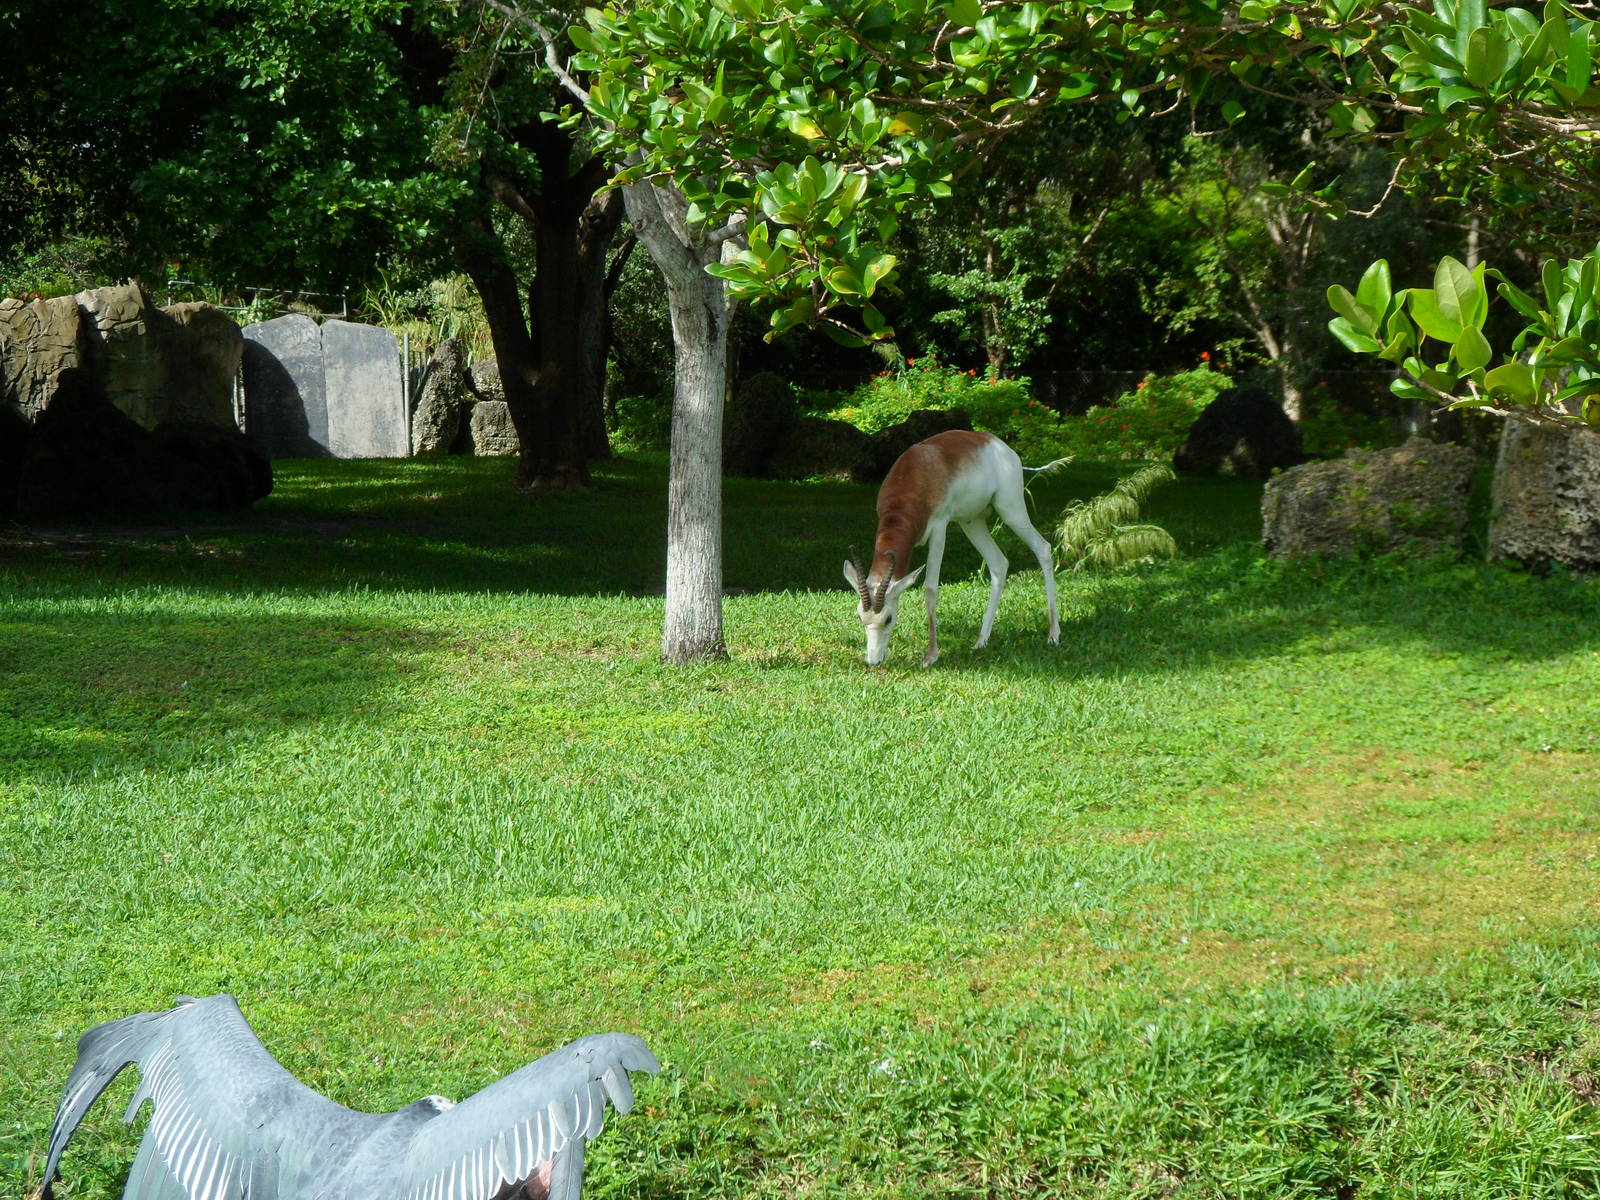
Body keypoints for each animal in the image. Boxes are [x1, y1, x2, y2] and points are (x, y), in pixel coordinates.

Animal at [844, 430, 1060, 666]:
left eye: (888, 618)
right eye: (859, 616)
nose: (873, 661)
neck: (916, 474)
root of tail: (1002, 446)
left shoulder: (939, 528)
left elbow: (930, 588)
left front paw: (931, 656)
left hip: (1010, 509)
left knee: (1043, 548)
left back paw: (1053, 634)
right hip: (972, 522)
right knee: (999, 564)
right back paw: (981, 641)